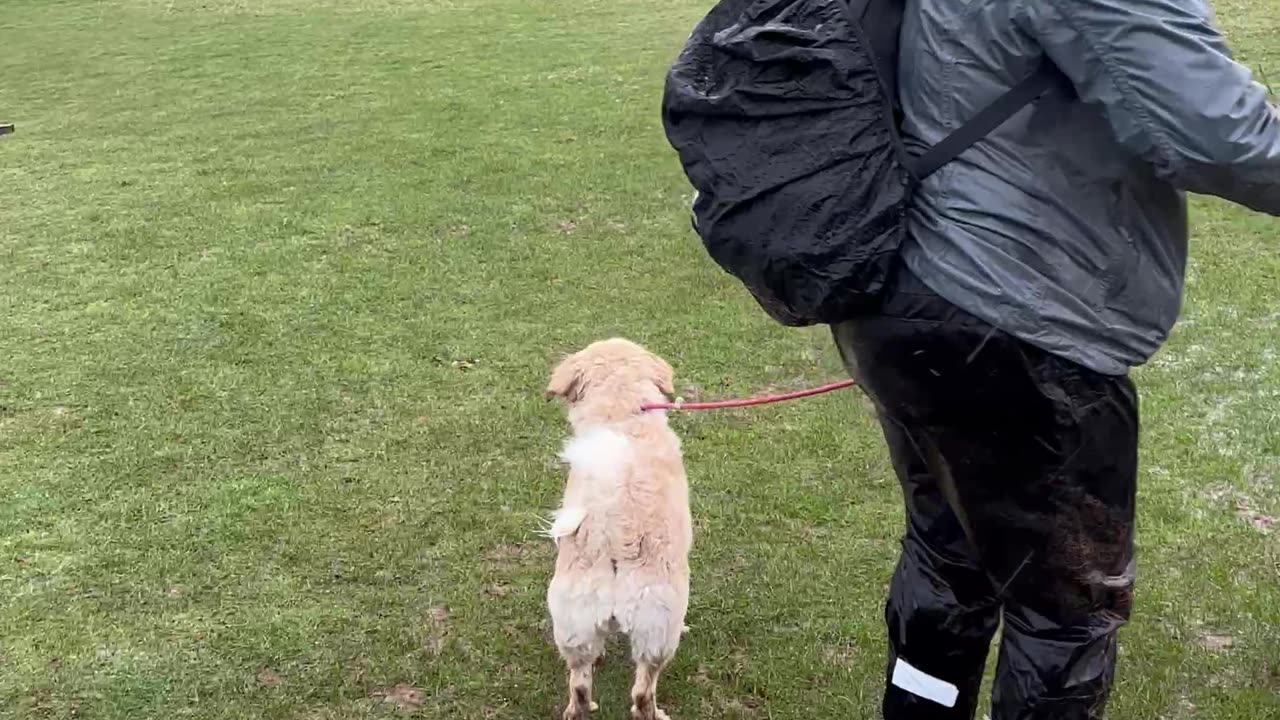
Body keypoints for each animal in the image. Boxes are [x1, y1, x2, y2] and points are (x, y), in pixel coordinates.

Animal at [545, 338, 696, 717]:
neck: (622, 415)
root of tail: (612, 544)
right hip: (657, 636)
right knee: (642, 693)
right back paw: (656, 713)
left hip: (574, 630)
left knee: (579, 684)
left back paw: (580, 708)